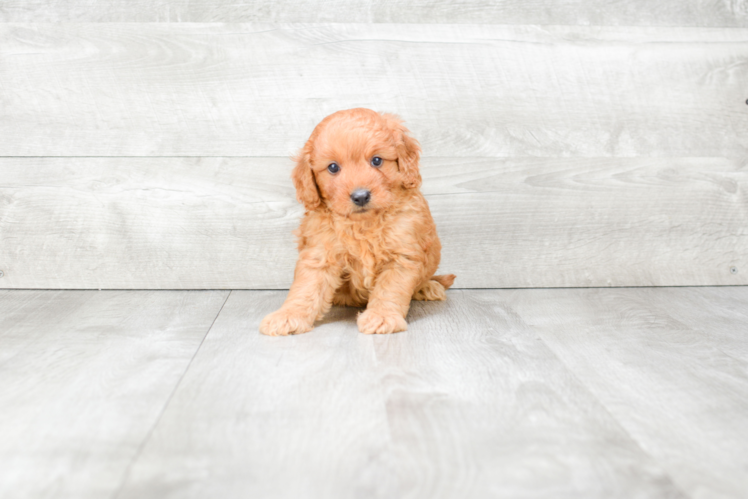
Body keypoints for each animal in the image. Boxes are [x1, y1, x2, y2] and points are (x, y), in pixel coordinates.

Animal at [260, 109, 452, 336]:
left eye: (377, 161)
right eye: (333, 167)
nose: (360, 196)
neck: (363, 224)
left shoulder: (402, 255)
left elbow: (390, 289)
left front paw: (381, 317)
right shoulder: (320, 252)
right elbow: (306, 288)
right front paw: (288, 315)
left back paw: (428, 286)